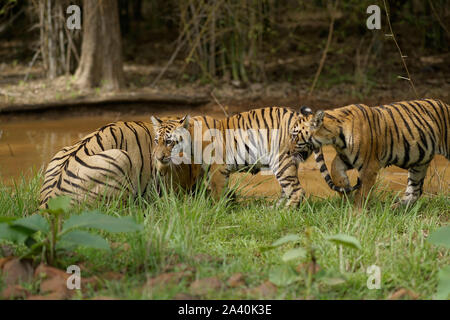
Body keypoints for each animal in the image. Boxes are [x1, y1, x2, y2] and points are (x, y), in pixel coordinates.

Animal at [151, 107, 358, 208]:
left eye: (169, 142)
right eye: (156, 140)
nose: (158, 157)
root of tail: (302, 119)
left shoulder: (217, 170)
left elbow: (217, 193)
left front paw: (217, 210)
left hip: (281, 160)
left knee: (297, 191)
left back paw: (283, 213)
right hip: (288, 163)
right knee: (287, 190)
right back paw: (273, 210)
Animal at [292, 99, 450, 206]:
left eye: (294, 135)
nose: (288, 152)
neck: (335, 137)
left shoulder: (369, 165)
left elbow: (362, 192)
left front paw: (356, 214)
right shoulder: (345, 157)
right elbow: (335, 169)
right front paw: (345, 188)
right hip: (419, 163)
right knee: (415, 190)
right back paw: (396, 208)